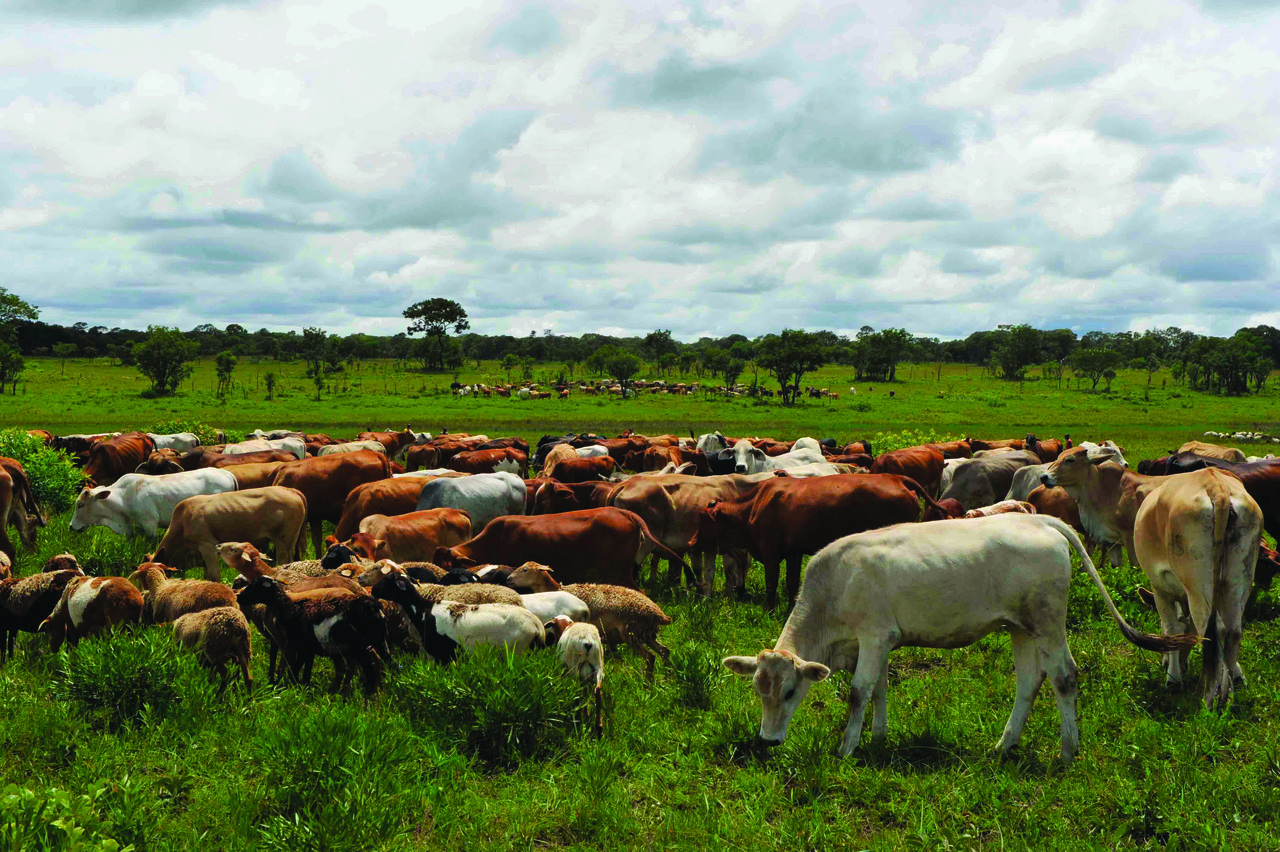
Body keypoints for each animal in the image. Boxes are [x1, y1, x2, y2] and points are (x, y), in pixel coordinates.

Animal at [236, 575, 390, 696]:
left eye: (254, 586)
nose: (239, 597)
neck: (290, 608)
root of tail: (375, 607)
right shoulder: (308, 649)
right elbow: (303, 672)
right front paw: (301, 689)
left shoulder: (302, 647)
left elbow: (295, 670)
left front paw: (292, 691)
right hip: (376, 643)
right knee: (378, 662)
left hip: (359, 647)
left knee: (366, 668)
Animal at [370, 571, 544, 663]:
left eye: (387, 580)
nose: (372, 590)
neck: (424, 611)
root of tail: (537, 626)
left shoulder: (442, 655)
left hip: (517, 651)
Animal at [688, 474, 950, 609]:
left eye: (702, 519)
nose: (691, 543)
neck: (755, 504)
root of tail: (897, 478)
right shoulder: (793, 552)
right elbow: (791, 583)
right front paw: (790, 608)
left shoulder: (770, 551)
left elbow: (772, 583)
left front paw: (769, 610)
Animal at [723, 514, 1193, 761]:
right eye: (758, 690)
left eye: (788, 692)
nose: (767, 740)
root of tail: (1036, 517)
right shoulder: (881, 644)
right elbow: (879, 690)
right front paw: (878, 738)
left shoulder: (873, 636)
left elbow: (858, 693)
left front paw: (847, 748)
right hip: (1020, 628)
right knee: (1029, 681)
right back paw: (1004, 744)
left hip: (1047, 622)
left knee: (1064, 677)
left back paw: (1066, 749)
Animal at [1041, 447, 1264, 707]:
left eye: (1069, 459)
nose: (1044, 477)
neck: (1102, 487)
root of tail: (1216, 488)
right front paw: (1235, 675)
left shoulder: (1154, 578)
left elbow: (1170, 627)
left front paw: (1173, 676)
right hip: (1239, 578)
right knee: (1233, 629)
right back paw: (1228, 695)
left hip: (1198, 586)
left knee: (1213, 630)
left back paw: (1211, 696)